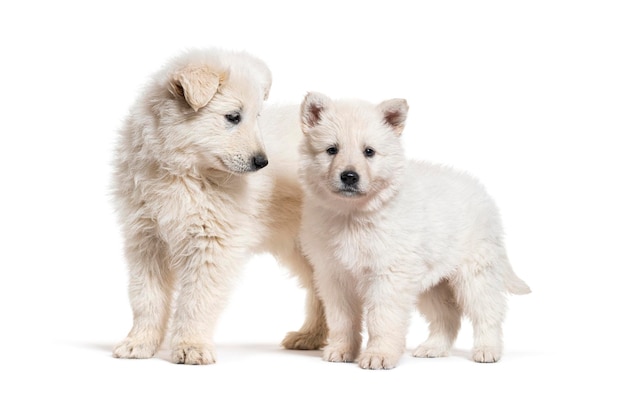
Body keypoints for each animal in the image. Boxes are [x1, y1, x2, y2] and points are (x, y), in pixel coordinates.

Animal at [112, 49, 326, 366]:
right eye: (233, 117)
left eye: (257, 116)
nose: (262, 162)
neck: (184, 173)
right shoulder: (146, 239)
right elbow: (145, 297)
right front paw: (138, 343)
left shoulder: (212, 243)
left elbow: (196, 300)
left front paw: (191, 346)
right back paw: (311, 336)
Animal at [296, 91, 528, 370]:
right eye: (332, 150)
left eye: (369, 152)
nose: (349, 176)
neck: (353, 215)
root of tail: (483, 194)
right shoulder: (334, 275)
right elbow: (342, 319)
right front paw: (341, 350)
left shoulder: (389, 274)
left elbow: (381, 317)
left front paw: (378, 355)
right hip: (433, 282)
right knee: (448, 316)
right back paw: (434, 348)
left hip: (475, 273)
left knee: (488, 312)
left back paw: (487, 350)